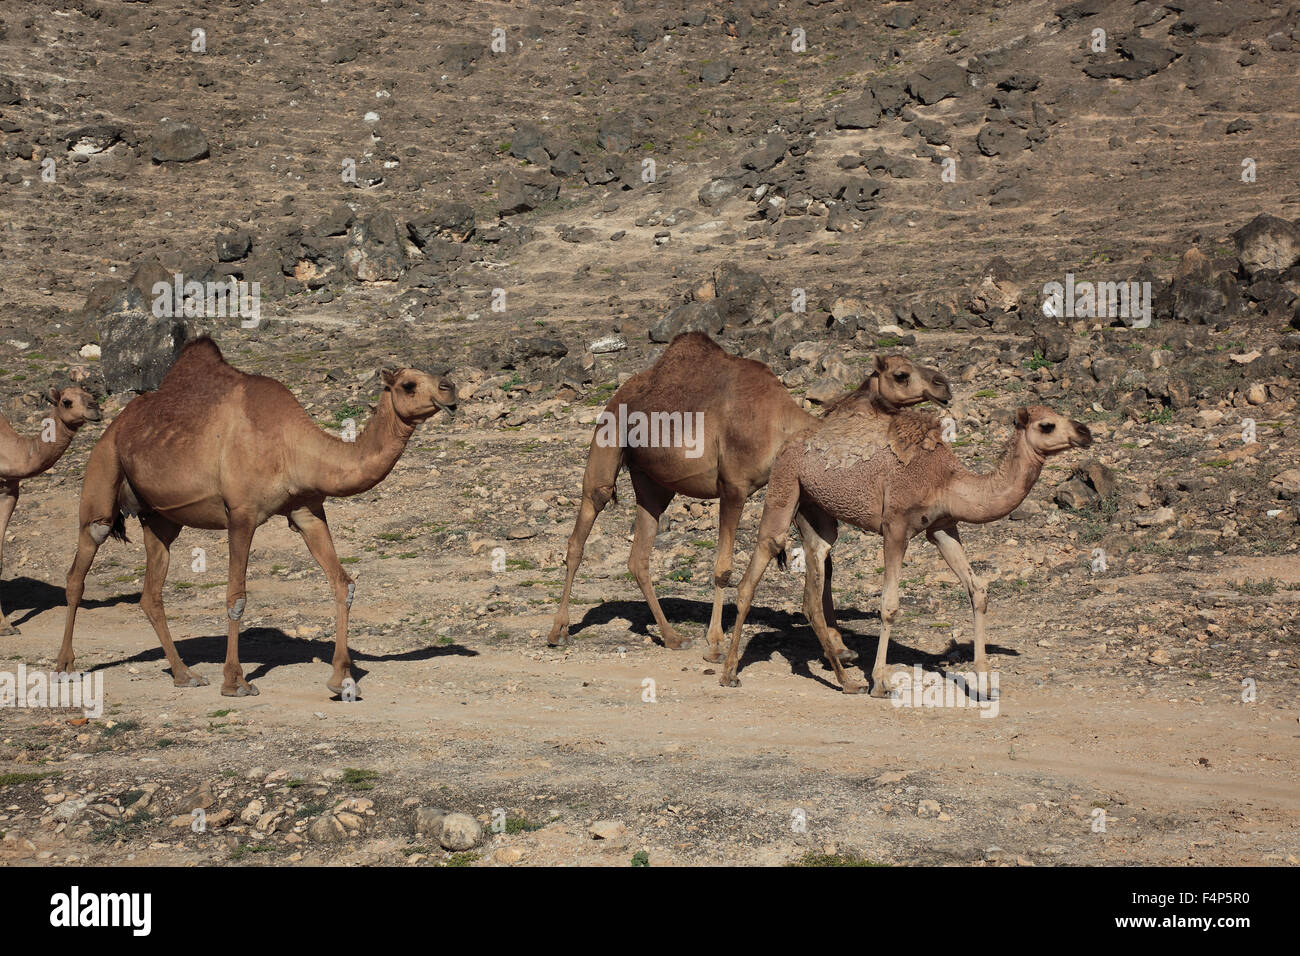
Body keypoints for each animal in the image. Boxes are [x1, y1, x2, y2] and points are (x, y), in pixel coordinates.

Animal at [53, 340, 460, 697]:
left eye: (437, 374)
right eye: (408, 384)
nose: (450, 388)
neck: (291, 445)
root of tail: (115, 424)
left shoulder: (307, 510)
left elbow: (343, 584)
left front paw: (342, 680)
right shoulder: (242, 515)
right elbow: (237, 597)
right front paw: (236, 682)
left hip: (161, 517)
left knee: (151, 593)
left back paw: (185, 675)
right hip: (104, 471)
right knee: (78, 569)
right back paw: (64, 666)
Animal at [543, 330, 951, 665]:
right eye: (901, 374)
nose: (944, 383)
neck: (783, 427)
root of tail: (622, 391)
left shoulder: (797, 492)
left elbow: (824, 565)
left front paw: (840, 648)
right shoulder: (733, 487)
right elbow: (723, 568)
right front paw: (715, 644)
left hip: (653, 483)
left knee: (638, 556)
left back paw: (673, 637)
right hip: (606, 444)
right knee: (581, 530)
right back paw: (558, 631)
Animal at [722, 403, 1097, 697]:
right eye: (1046, 425)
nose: (1085, 431)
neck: (946, 480)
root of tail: (789, 444)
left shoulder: (942, 527)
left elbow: (977, 590)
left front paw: (985, 681)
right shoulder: (896, 526)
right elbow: (889, 605)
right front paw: (880, 683)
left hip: (815, 509)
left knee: (813, 585)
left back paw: (847, 682)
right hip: (785, 483)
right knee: (762, 557)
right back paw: (729, 673)